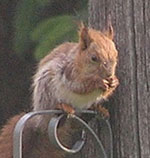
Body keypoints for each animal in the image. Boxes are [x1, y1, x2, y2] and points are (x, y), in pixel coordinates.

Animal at [0, 22, 119, 157]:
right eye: (94, 58)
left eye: (116, 55)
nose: (109, 74)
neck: (79, 63)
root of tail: (40, 124)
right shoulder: (67, 72)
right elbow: (79, 86)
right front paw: (98, 82)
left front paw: (114, 82)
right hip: (46, 89)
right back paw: (63, 107)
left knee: (74, 123)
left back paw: (98, 109)